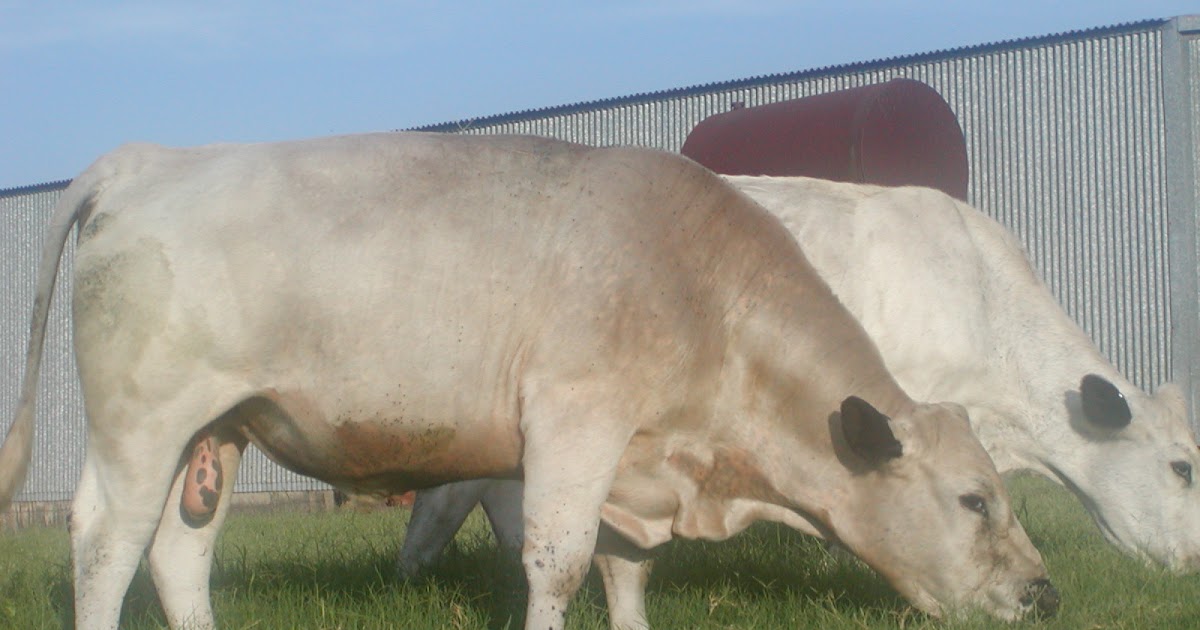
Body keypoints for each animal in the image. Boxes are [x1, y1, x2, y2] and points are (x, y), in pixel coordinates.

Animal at [0, 134, 1056, 630]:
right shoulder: (576, 424)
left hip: (213, 432)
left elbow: (626, 573)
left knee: (181, 553)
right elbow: (560, 562)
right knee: (105, 542)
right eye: (975, 500)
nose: (1045, 594)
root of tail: (150, 158)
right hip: (141, 422)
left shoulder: (635, 460)